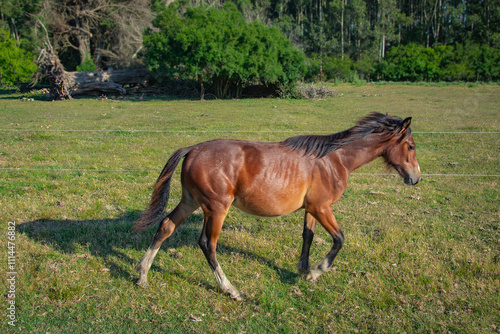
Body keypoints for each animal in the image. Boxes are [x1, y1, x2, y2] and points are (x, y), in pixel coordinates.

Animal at [133, 112, 418, 300]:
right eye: (411, 146)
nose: (415, 178)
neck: (334, 159)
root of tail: (193, 149)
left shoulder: (312, 209)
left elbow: (308, 236)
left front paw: (303, 270)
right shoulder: (323, 208)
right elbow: (339, 239)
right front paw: (316, 272)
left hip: (190, 201)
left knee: (166, 226)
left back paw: (142, 275)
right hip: (216, 208)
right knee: (207, 244)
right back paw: (231, 290)